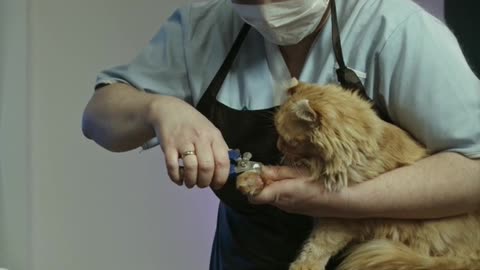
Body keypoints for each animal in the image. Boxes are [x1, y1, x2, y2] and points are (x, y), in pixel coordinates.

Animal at [236, 81, 480, 270]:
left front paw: (303, 267)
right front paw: (249, 180)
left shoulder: (340, 219)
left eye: (288, 140)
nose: (278, 145)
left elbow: (315, 250)